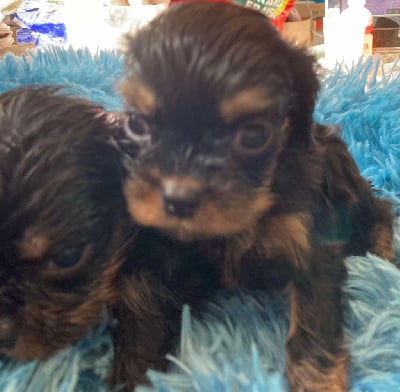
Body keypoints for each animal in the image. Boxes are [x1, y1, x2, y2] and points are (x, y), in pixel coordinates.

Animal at [120, 2, 396, 388]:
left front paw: (316, 382)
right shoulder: (163, 252)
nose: (178, 199)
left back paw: (381, 255)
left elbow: (313, 317)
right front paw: (133, 373)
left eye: (253, 136)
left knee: (379, 208)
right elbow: (143, 303)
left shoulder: (311, 243)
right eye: (138, 125)